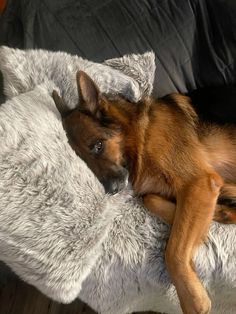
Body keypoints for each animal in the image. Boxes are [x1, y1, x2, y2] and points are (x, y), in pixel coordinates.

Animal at [52, 71, 236, 314]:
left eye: (98, 146)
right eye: (83, 160)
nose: (112, 191)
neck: (141, 134)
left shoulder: (199, 183)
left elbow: (174, 250)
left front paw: (193, 298)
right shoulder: (191, 190)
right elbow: (153, 201)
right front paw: (215, 213)